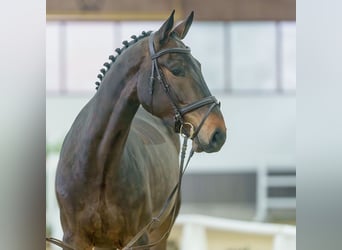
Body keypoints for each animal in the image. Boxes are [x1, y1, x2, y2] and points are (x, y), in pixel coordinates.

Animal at [55, 10, 226, 250]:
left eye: (199, 66)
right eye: (176, 70)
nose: (218, 133)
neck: (97, 166)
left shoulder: (138, 239)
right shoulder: (73, 239)